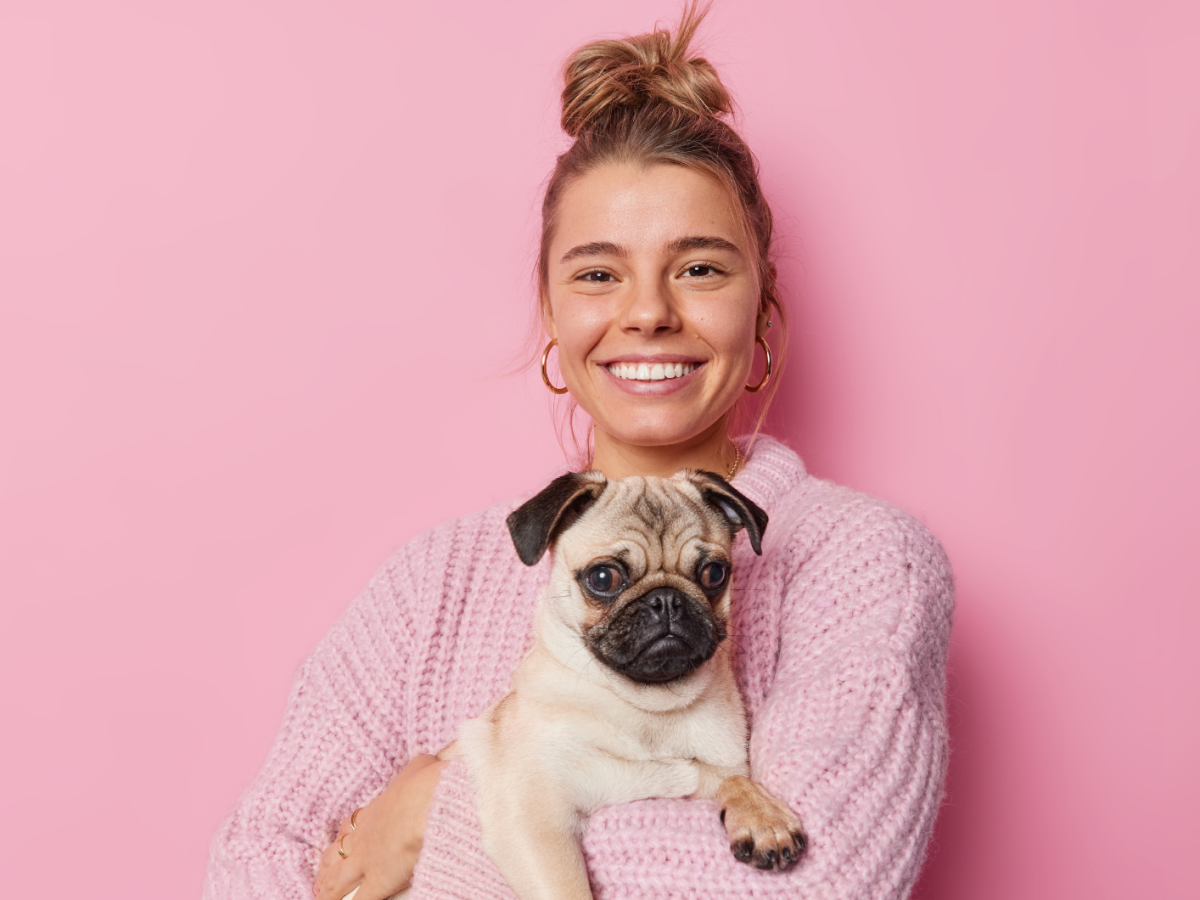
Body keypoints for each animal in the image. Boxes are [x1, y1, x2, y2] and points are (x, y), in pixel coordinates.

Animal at [424, 472, 806, 900]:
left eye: (714, 574)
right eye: (603, 578)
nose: (667, 600)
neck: (647, 706)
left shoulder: (693, 775)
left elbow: (734, 779)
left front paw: (762, 816)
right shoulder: (533, 819)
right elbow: (568, 891)